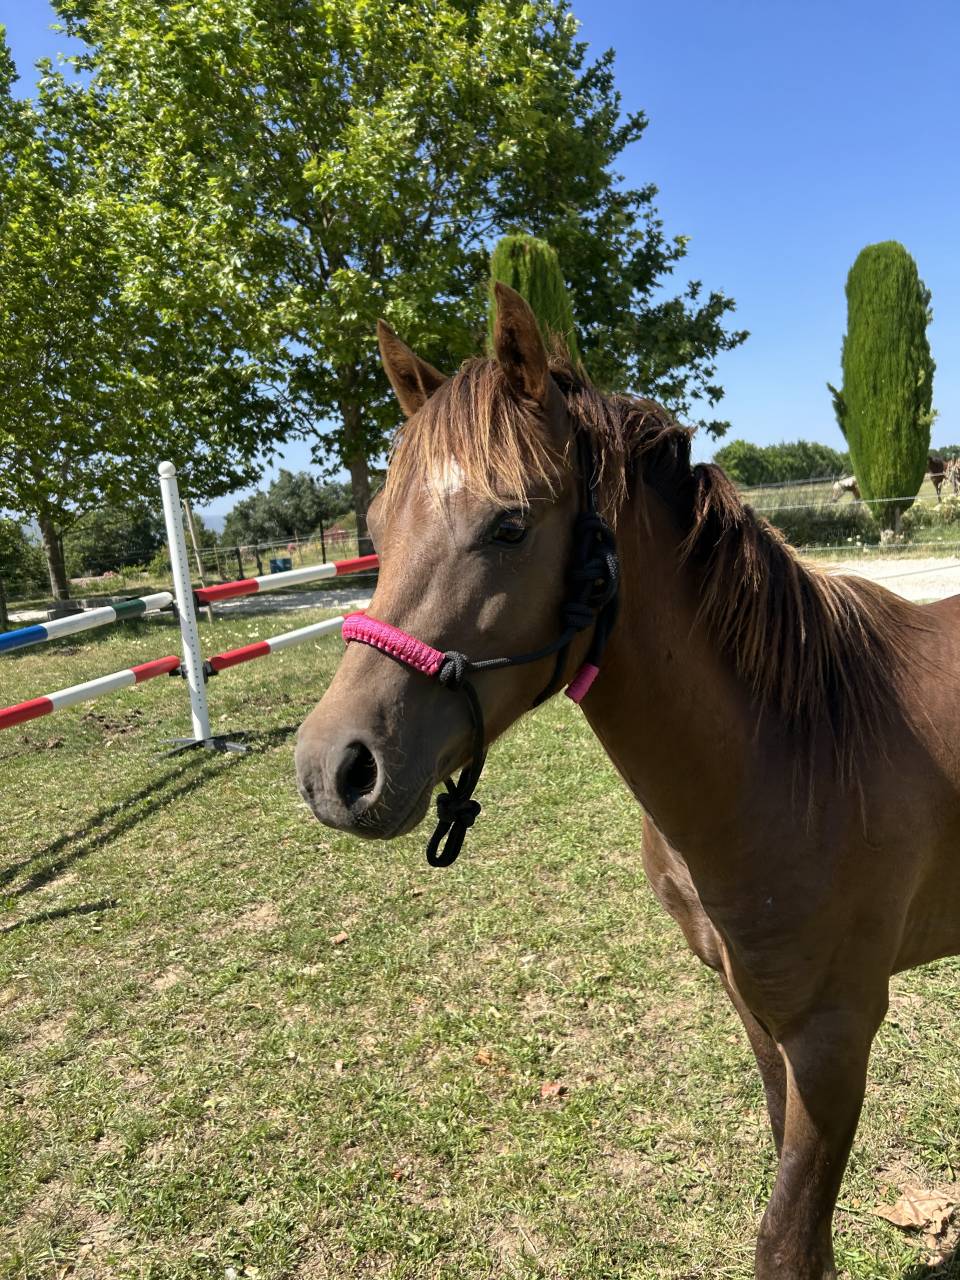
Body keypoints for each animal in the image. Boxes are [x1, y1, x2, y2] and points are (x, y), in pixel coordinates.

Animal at [296, 284, 960, 1280]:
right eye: (374, 529)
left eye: (510, 524)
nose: (333, 768)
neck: (799, 752)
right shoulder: (759, 1013)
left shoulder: (835, 1031)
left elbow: (786, 1243)